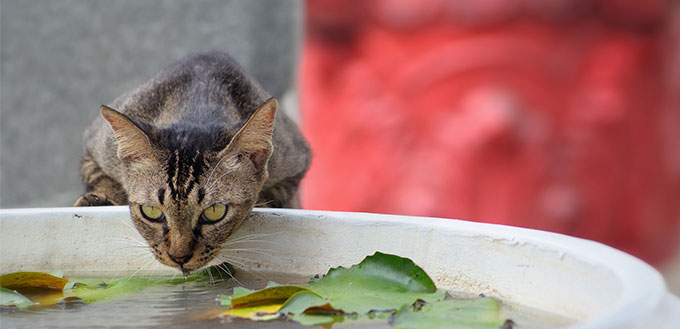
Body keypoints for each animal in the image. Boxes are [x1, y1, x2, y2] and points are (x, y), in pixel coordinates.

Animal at [73, 51, 312, 274]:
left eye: (215, 212)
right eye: (151, 212)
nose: (179, 256)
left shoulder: (297, 161)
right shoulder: (94, 146)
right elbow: (100, 176)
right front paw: (98, 200)